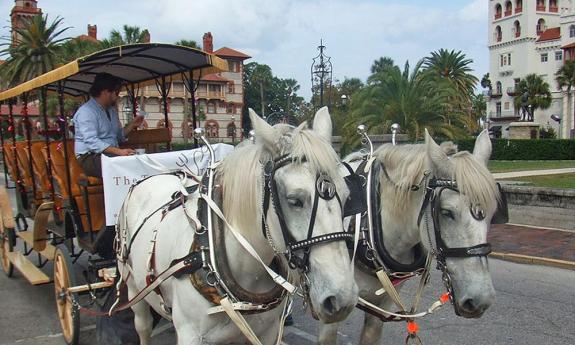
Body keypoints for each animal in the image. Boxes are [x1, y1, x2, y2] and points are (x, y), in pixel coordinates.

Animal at [116, 106, 358, 342]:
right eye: (294, 200)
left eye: (347, 197)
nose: (341, 299)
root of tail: (153, 176)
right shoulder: (189, 333)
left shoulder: (267, 332)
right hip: (133, 288)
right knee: (143, 326)